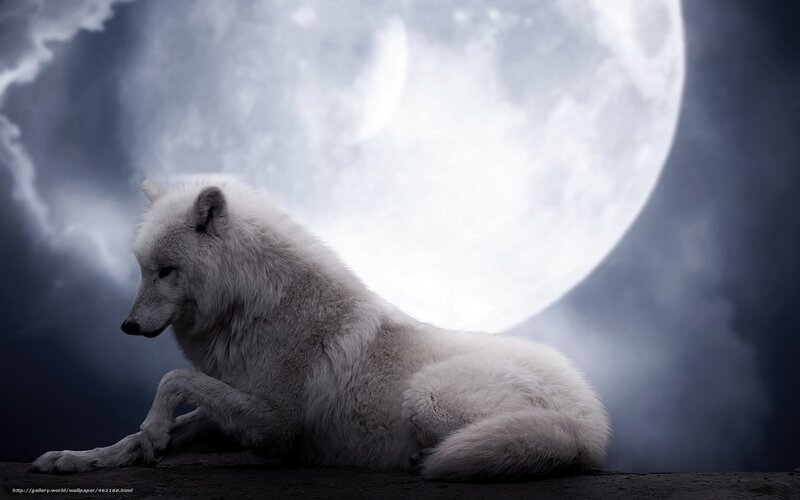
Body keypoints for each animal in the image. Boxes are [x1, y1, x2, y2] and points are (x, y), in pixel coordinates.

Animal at [31, 177, 609, 481]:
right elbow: (150, 427)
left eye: (166, 271)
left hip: (427, 397)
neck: (252, 305)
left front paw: (152, 432)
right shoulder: (237, 404)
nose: (126, 326)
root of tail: (592, 422)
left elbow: (172, 380)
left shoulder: (277, 422)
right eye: (142, 268)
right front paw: (82, 457)